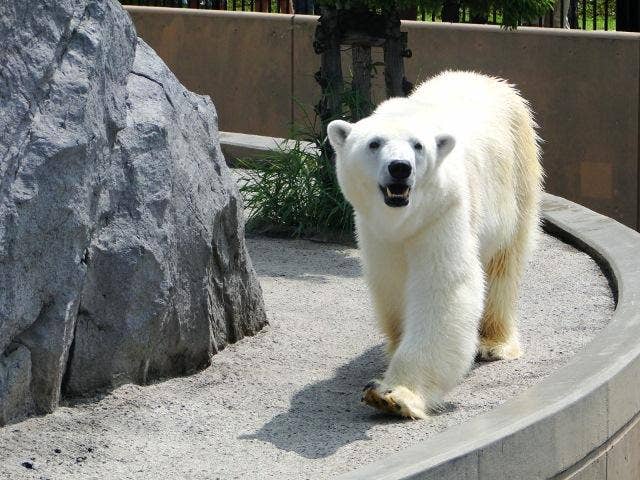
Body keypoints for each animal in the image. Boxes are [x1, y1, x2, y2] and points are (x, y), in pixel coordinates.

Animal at [328, 69, 544, 418]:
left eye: (418, 146)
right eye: (374, 143)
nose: (400, 168)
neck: (404, 218)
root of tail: (488, 79)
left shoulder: (444, 210)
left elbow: (442, 288)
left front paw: (393, 395)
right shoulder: (375, 231)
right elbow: (390, 283)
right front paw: (393, 353)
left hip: (517, 171)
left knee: (504, 262)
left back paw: (493, 343)